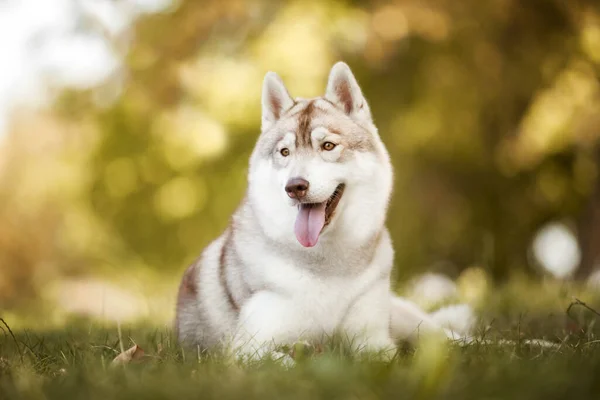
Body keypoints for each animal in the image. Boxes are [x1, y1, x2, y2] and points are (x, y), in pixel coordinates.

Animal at [175, 62, 474, 360]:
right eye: (284, 152)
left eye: (328, 146)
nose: (295, 186)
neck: (328, 265)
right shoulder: (247, 348)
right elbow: (286, 360)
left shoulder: (373, 339)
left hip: (404, 316)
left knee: (440, 335)